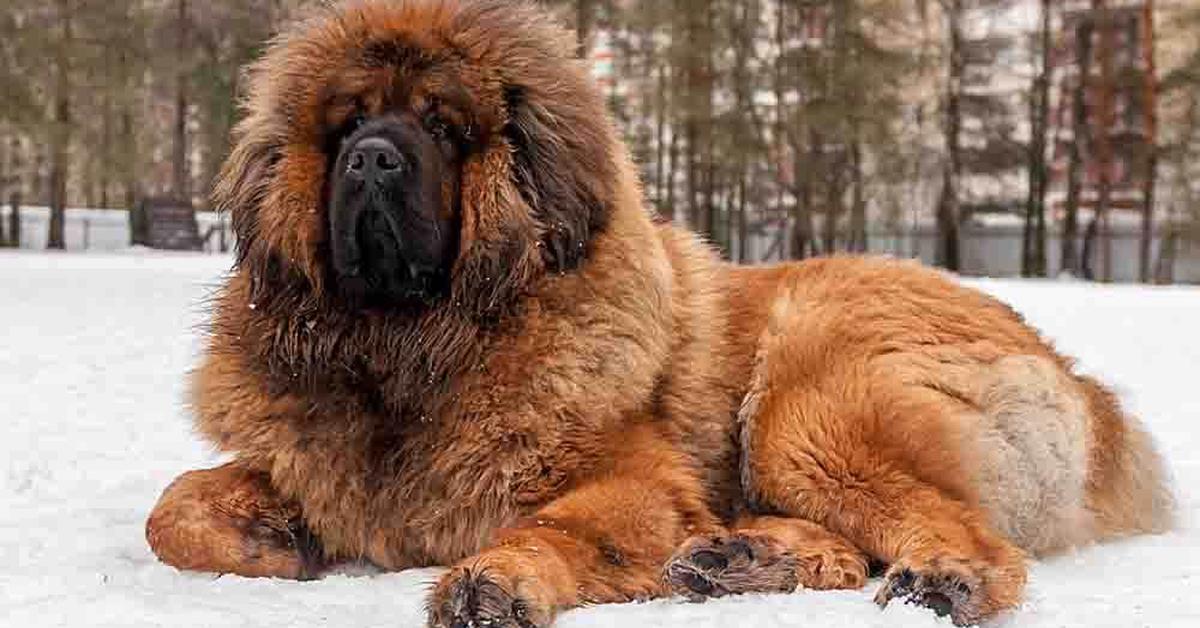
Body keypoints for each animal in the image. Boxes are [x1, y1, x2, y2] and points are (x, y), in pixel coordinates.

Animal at [145, 2, 1176, 624]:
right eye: (348, 125)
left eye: (440, 127)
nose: (371, 159)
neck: (416, 352)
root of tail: (1089, 393)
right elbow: (172, 509)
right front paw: (272, 539)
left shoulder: (634, 483)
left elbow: (554, 527)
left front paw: (495, 579)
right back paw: (746, 558)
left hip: (809, 406)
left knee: (970, 538)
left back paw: (935, 575)